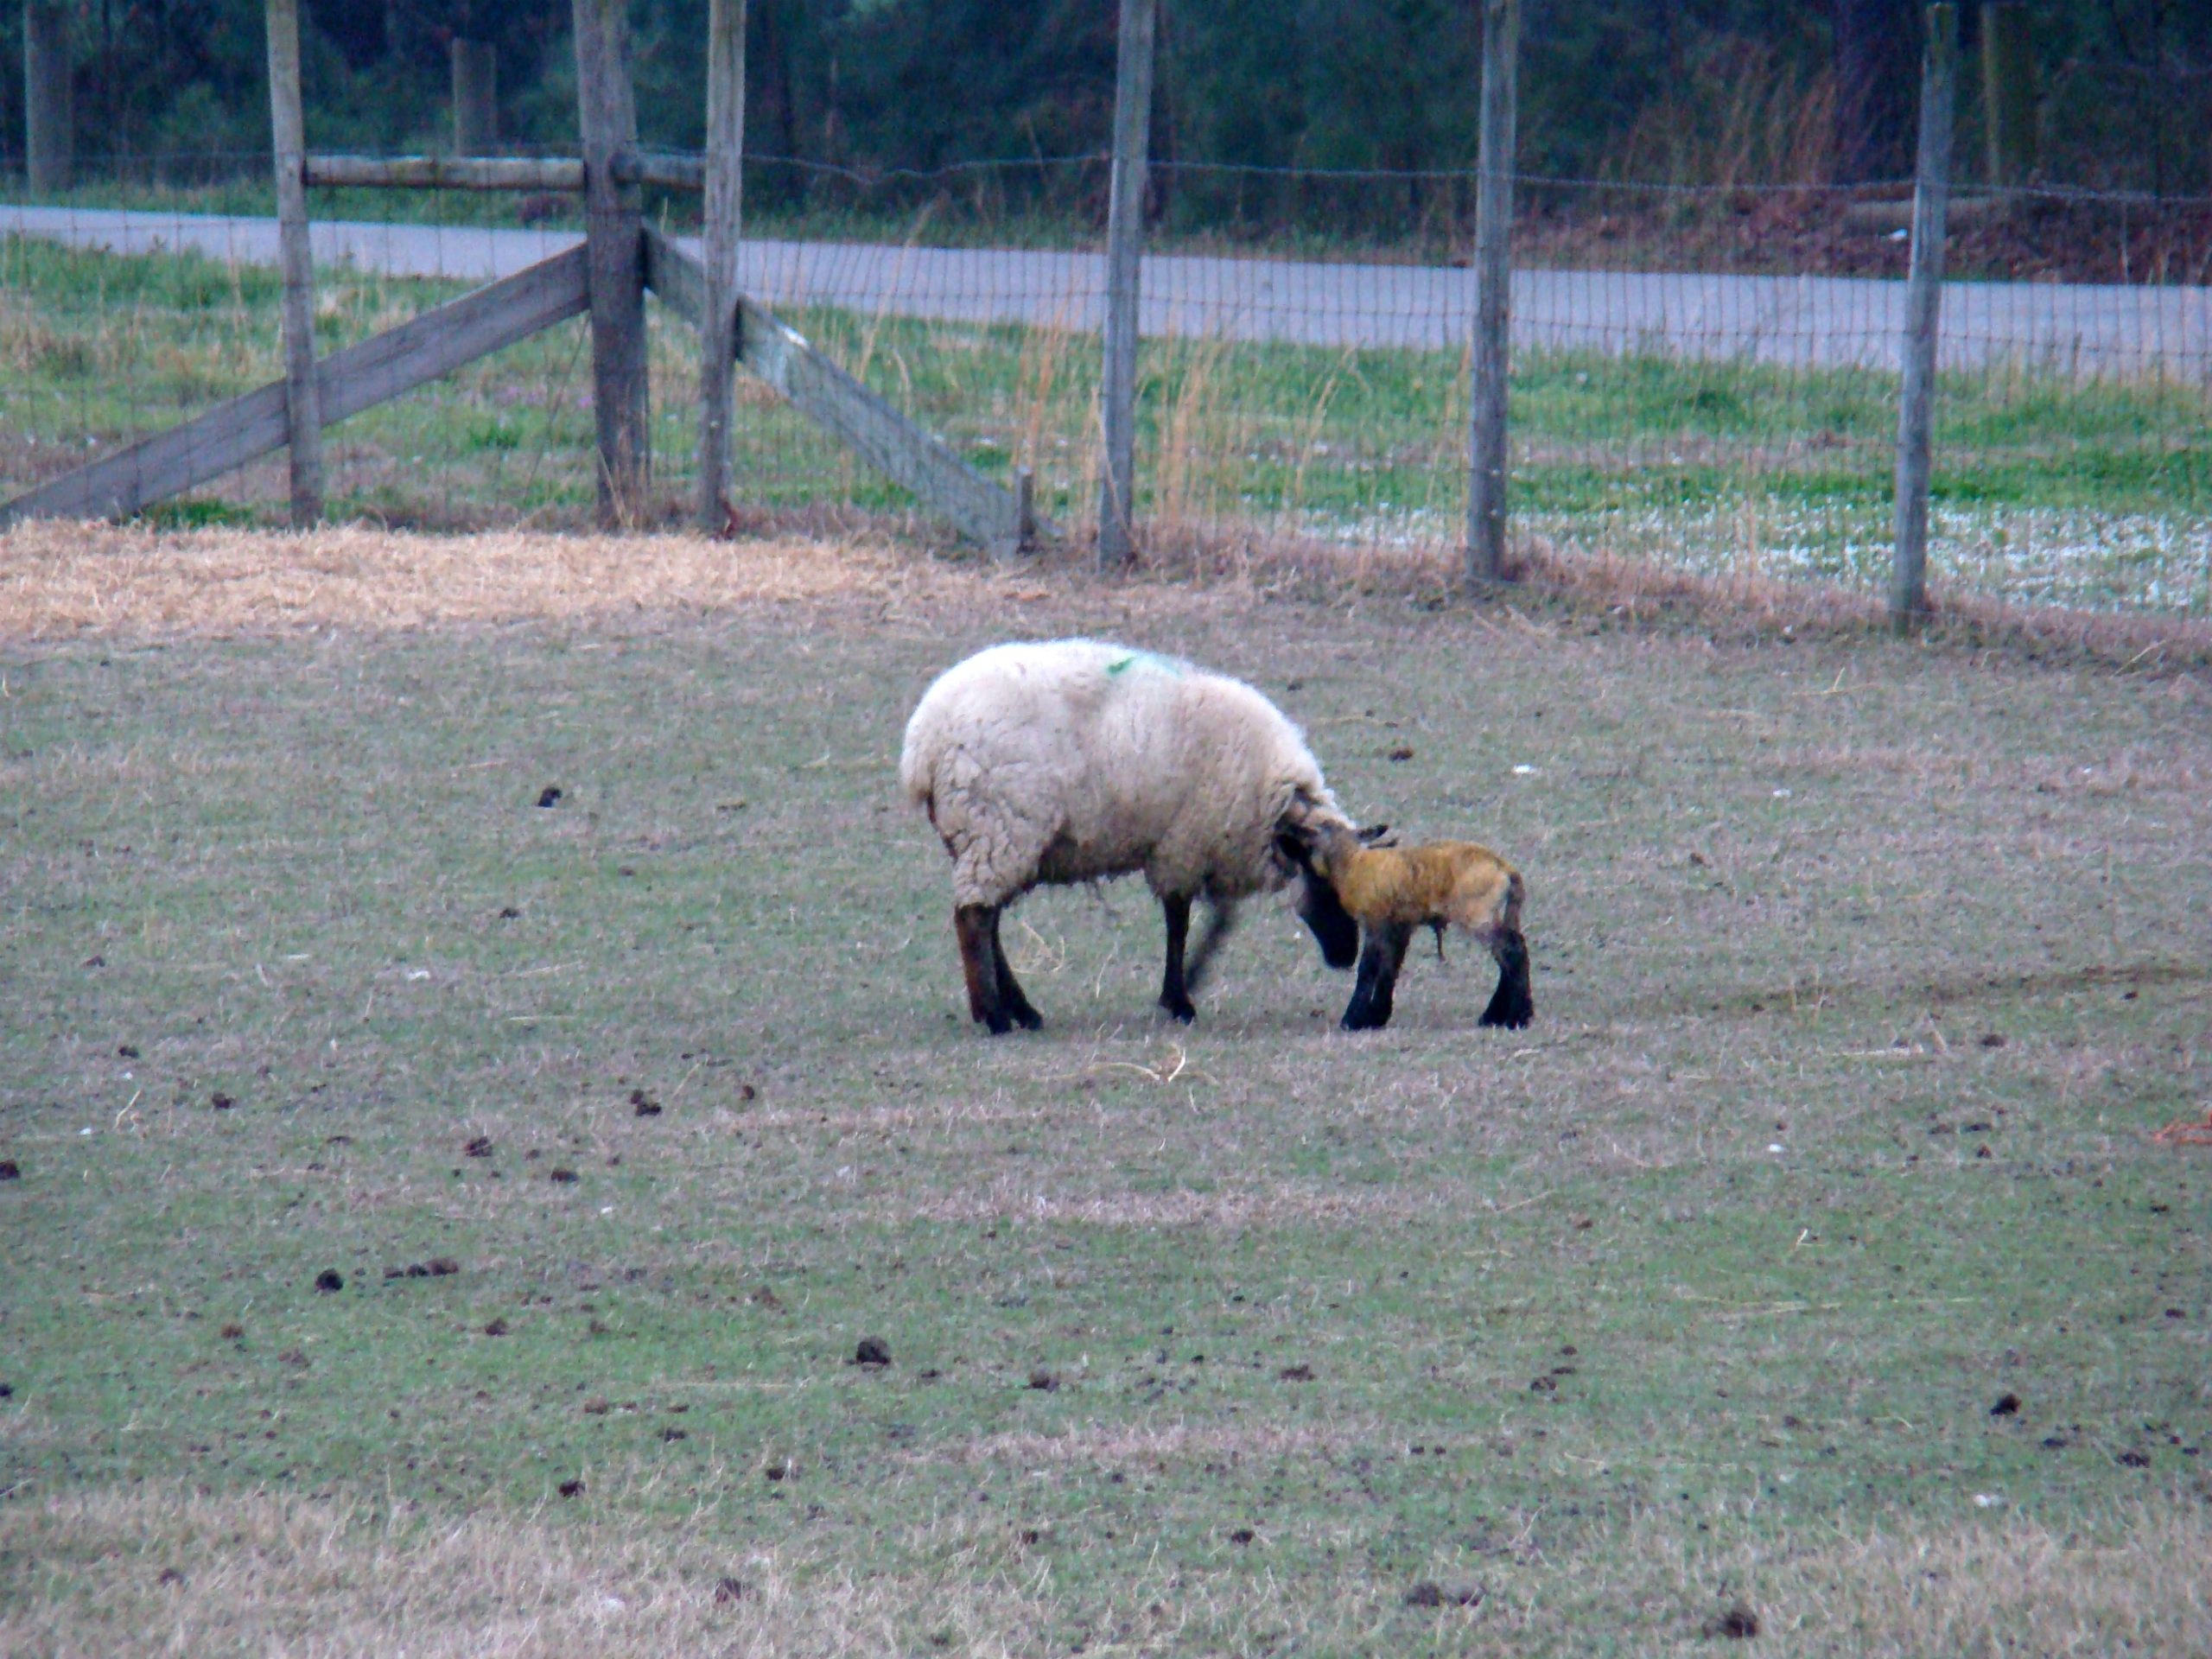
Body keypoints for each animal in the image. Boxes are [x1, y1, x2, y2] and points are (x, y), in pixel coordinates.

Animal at [899, 639, 1367, 1033]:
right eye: (1326, 884)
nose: (1347, 956)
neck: (1271, 796)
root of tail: (924, 742)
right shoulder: (1185, 843)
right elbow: (1179, 922)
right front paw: (1179, 998)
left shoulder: (1211, 844)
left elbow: (1219, 920)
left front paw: (1188, 983)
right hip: (999, 825)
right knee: (974, 919)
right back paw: (995, 1016)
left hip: (984, 834)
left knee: (986, 918)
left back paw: (1018, 1011)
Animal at [1276, 817, 1532, 1032]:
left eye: (1312, 832)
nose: (1287, 831)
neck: (1350, 862)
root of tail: (1506, 869)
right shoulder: (1399, 926)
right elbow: (1390, 968)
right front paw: (1376, 1017)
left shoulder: (1376, 922)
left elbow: (1368, 969)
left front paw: (1353, 1019)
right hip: (1500, 913)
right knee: (1510, 953)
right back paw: (1496, 1016)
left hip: (1478, 915)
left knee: (1512, 952)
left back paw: (1517, 1018)